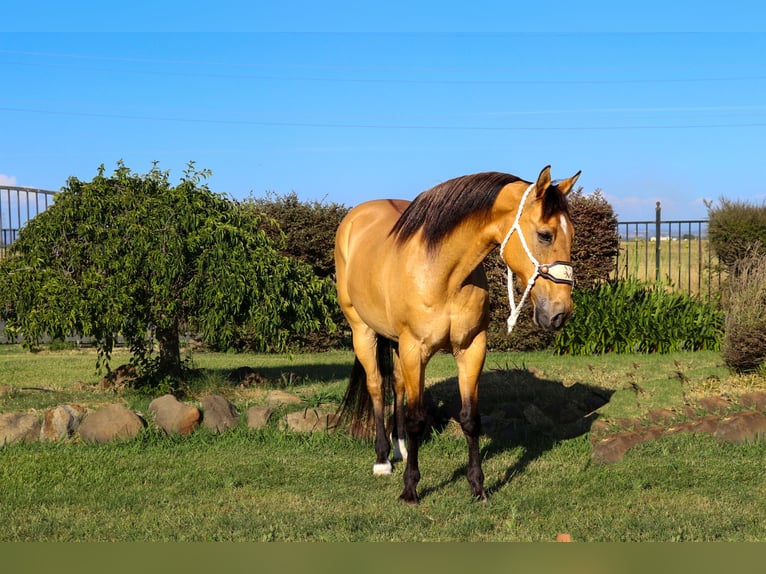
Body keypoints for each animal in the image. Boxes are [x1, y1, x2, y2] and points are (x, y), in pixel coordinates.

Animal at [334, 166, 580, 503]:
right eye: (545, 234)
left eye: (572, 234)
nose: (560, 312)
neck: (444, 273)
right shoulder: (415, 350)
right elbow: (417, 418)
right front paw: (410, 489)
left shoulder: (471, 348)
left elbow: (470, 419)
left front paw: (478, 486)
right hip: (363, 331)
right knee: (376, 387)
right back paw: (383, 459)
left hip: (396, 342)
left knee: (397, 385)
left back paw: (399, 448)